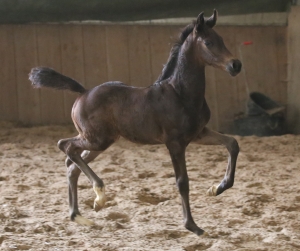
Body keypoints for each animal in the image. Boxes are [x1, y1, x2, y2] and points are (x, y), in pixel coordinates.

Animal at [29, 10, 241, 237]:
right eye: (208, 42)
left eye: (222, 40)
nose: (235, 65)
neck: (180, 93)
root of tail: (83, 92)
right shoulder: (175, 143)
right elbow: (182, 182)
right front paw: (192, 226)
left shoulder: (199, 133)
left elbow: (232, 144)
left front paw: (217, 188)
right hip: (96, 139)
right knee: (65, 145)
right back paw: (99, 195)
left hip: (100, 142)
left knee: (72, 165)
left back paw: (79, 215)